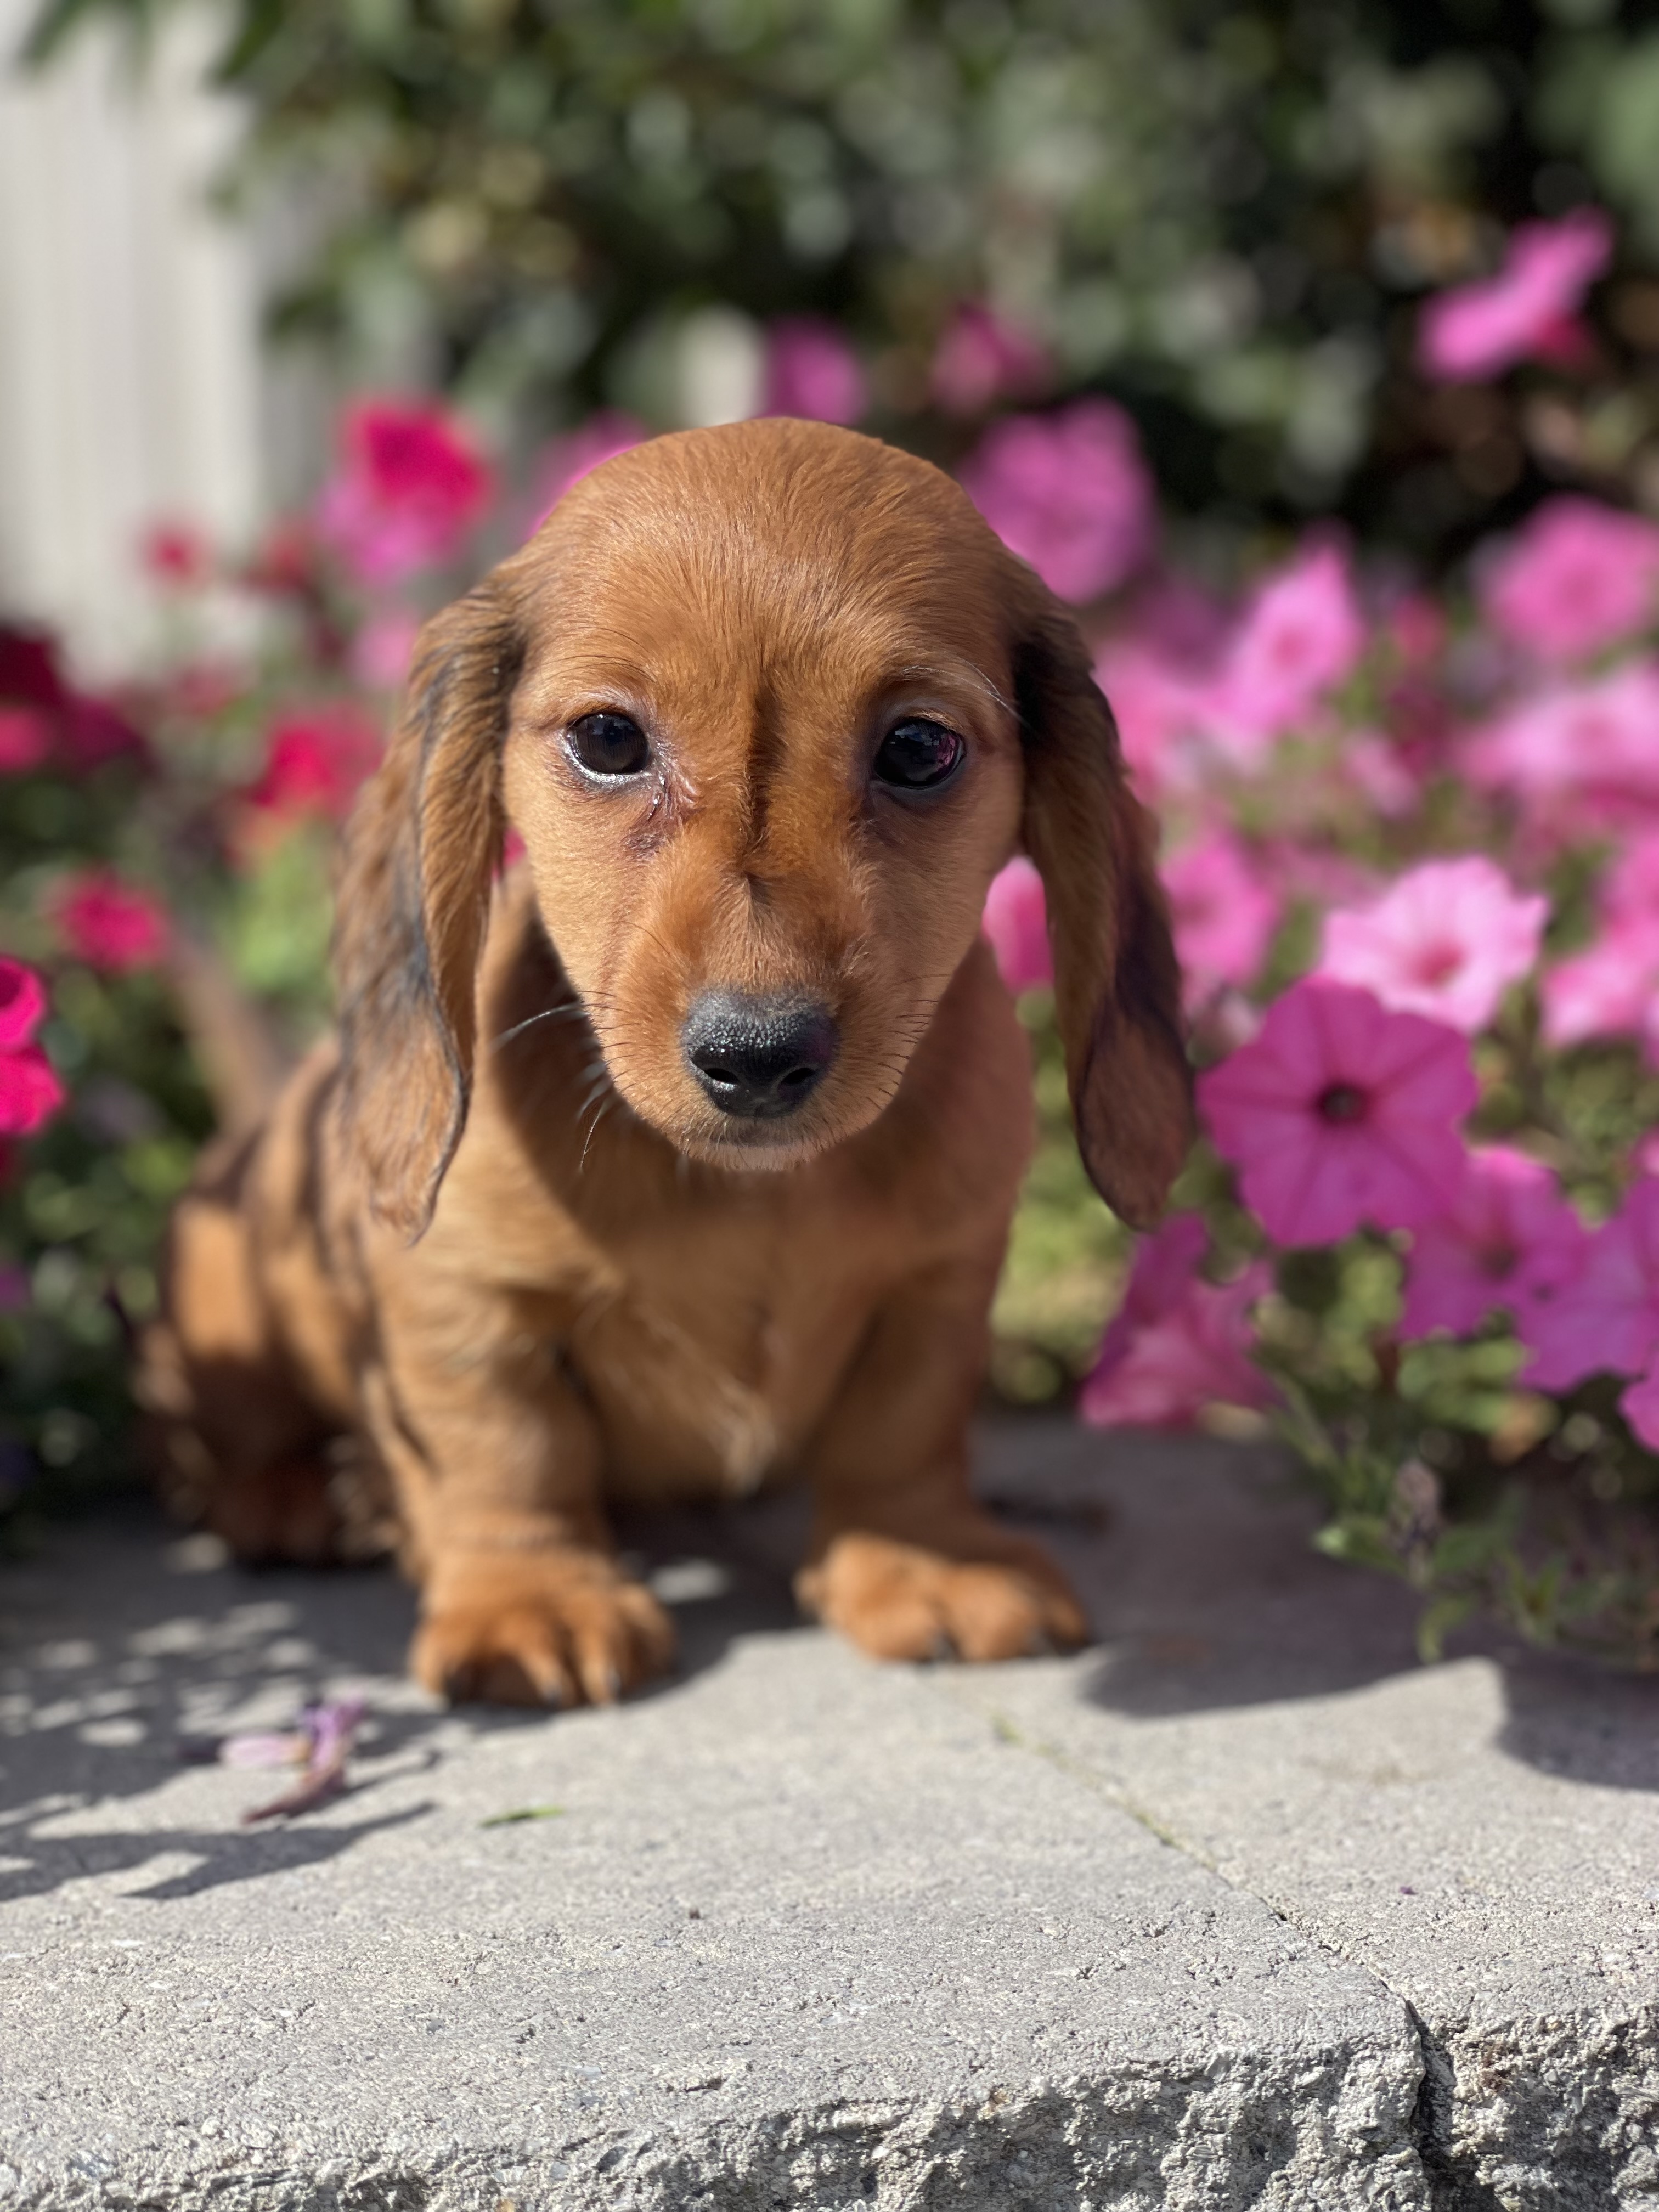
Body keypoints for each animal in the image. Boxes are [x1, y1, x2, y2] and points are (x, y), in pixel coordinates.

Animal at [136, 422, 1186, 1699]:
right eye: (608, 740)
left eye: (919, 748)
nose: (757, 1057)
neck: (753, 1190)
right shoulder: (461, 1298)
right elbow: (506, 1453)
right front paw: (530, 1593)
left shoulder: (940, 1281)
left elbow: (903, 1425)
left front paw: (923, 1556)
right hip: (220, 1296)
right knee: (214, 1445)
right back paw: (302, 1495)